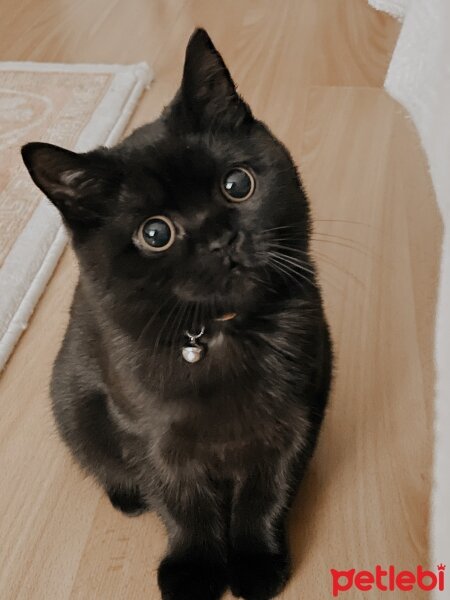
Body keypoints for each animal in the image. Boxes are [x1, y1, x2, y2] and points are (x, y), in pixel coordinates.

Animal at [22, 30, 330, 600]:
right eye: (155, 233)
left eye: (237, 185)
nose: (222, 238)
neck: (222, 334)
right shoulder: (150, 435)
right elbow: (182, 502)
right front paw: (194, 570)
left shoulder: (296, 414)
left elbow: (269, 490)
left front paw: (256, 561)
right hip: (72, 402)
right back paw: (127, 497)